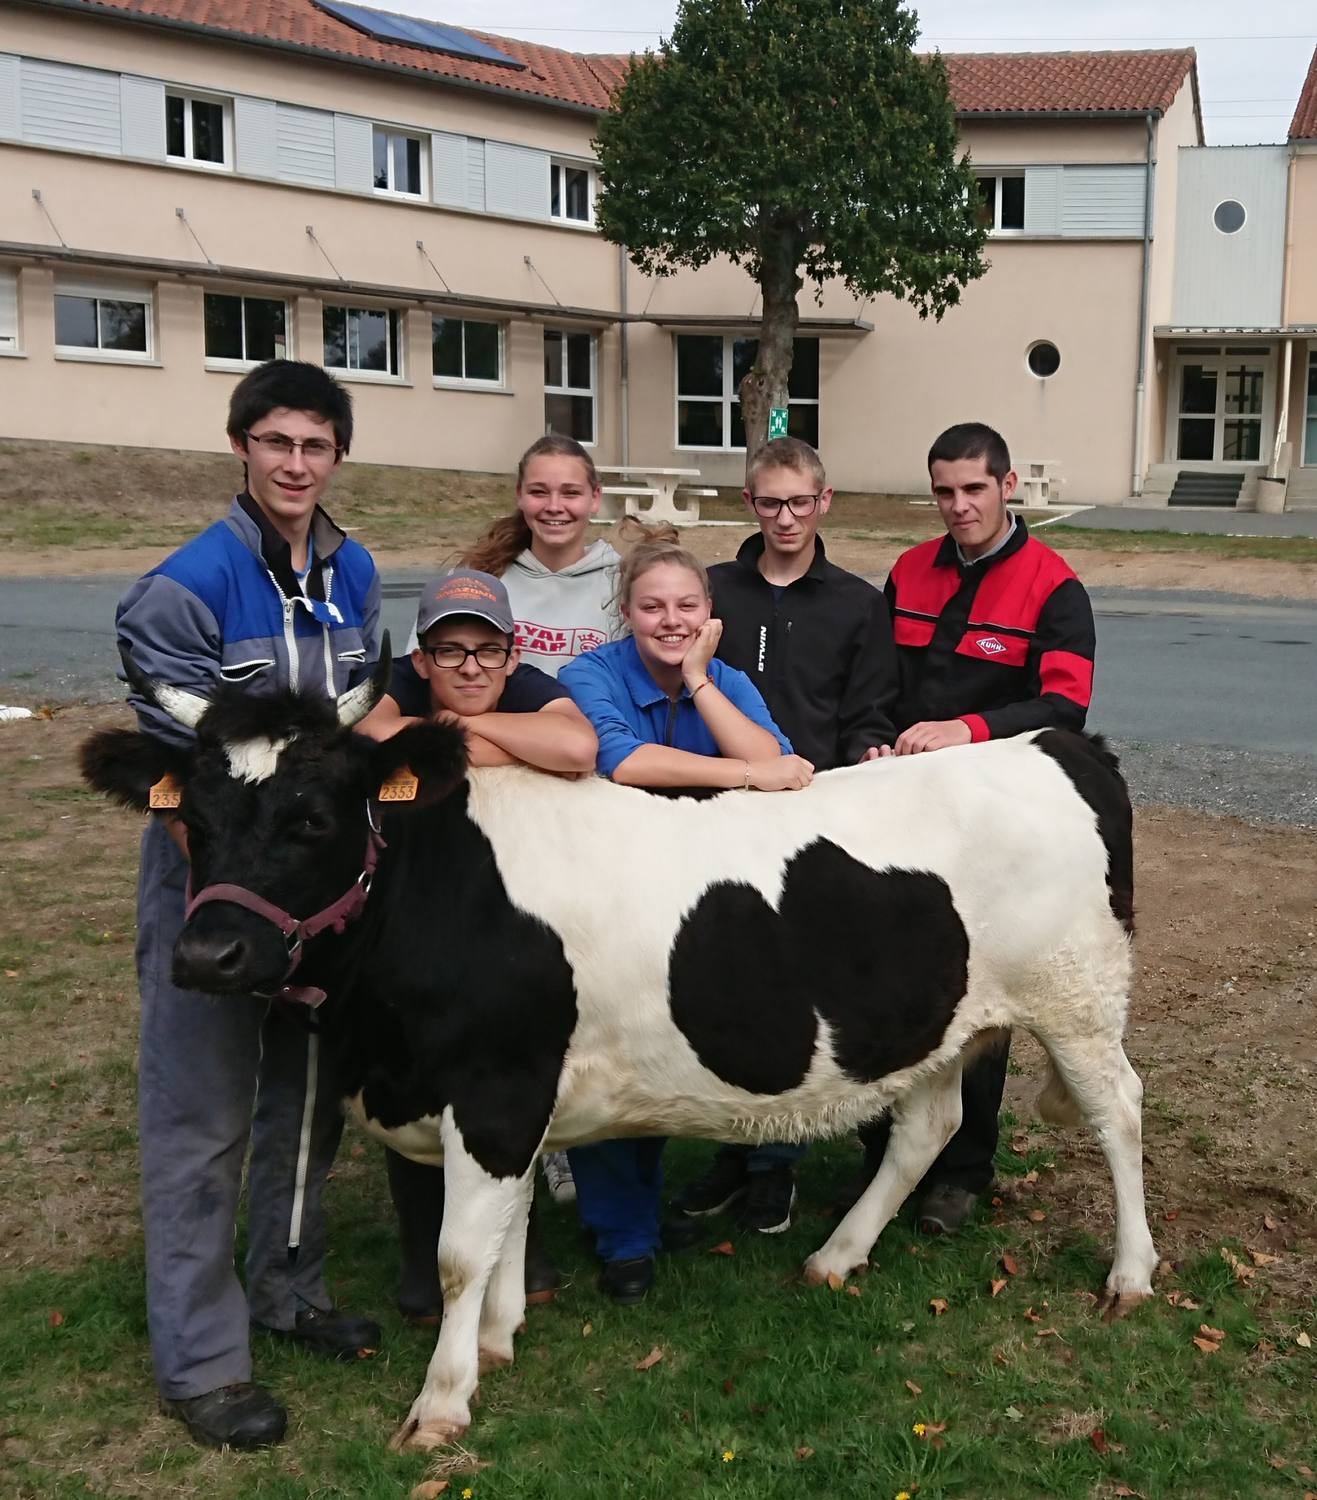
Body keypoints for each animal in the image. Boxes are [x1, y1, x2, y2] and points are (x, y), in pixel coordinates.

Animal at [82, 660, 1152, 1452]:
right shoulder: (509, 1097)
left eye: (311, 817)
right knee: (927, 1126)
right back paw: (834, 1258)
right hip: (939, 1025)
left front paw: (442, 1400)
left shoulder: (496, 1090)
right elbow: (506, 1229)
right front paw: (501, 1341)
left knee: (1118, 1113)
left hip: (1077, 996)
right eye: (192, 821)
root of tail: (1054, 743)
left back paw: (1130, 1276)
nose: (209, 954)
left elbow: (461, 1253)